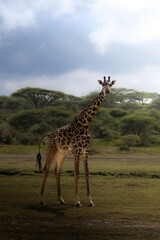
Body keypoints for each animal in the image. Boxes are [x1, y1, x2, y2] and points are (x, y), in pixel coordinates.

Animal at [37, 76, 115, 206]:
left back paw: (61, 199)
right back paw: (41, 200)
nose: (107, 91)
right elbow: (77, 174)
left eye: (110, 84)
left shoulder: (85, 150)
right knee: (46, 170)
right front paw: (77, 201)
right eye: (103, 84)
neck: (86, 124)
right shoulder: (77, 150)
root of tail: (49, 134)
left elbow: (87, 174)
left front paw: (90, 201)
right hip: (51, 149)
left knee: (56, 170)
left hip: (61, 153)